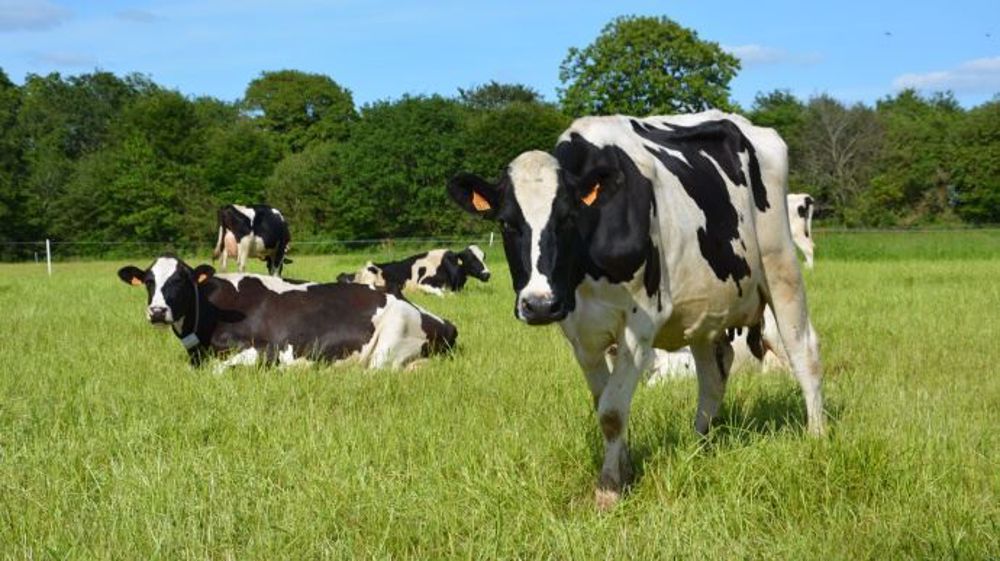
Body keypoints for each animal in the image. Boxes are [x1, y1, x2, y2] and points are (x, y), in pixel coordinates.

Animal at [117, 255, 458, 371]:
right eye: (149, 281)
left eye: (181, 281)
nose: (157, 311)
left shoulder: (267, 349)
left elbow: (219, 370)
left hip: (390, 339)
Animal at [447, 110, 825, 510]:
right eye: (506, 222)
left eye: (567, 217)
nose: (539, 304)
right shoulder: (580, 333)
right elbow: (604, 402)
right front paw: (624, 470)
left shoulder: (639, 325)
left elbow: (612, 411)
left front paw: (609, 489)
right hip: (704, 308)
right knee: (714, 372)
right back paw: (697, 445)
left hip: (780, 266)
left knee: (804, 352)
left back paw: (817, 436)